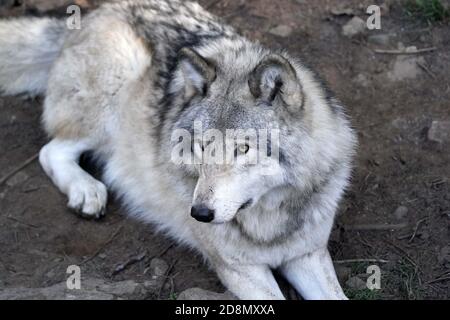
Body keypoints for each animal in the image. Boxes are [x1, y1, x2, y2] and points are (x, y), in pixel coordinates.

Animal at [0, 0, 358, 300]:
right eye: (201, 146)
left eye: (243, 149)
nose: (199, 214)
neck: (270, 221)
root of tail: (94, 12)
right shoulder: (240, 269)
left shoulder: (308, 254)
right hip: (113, 99)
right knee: (51, 151)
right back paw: (86, 191)